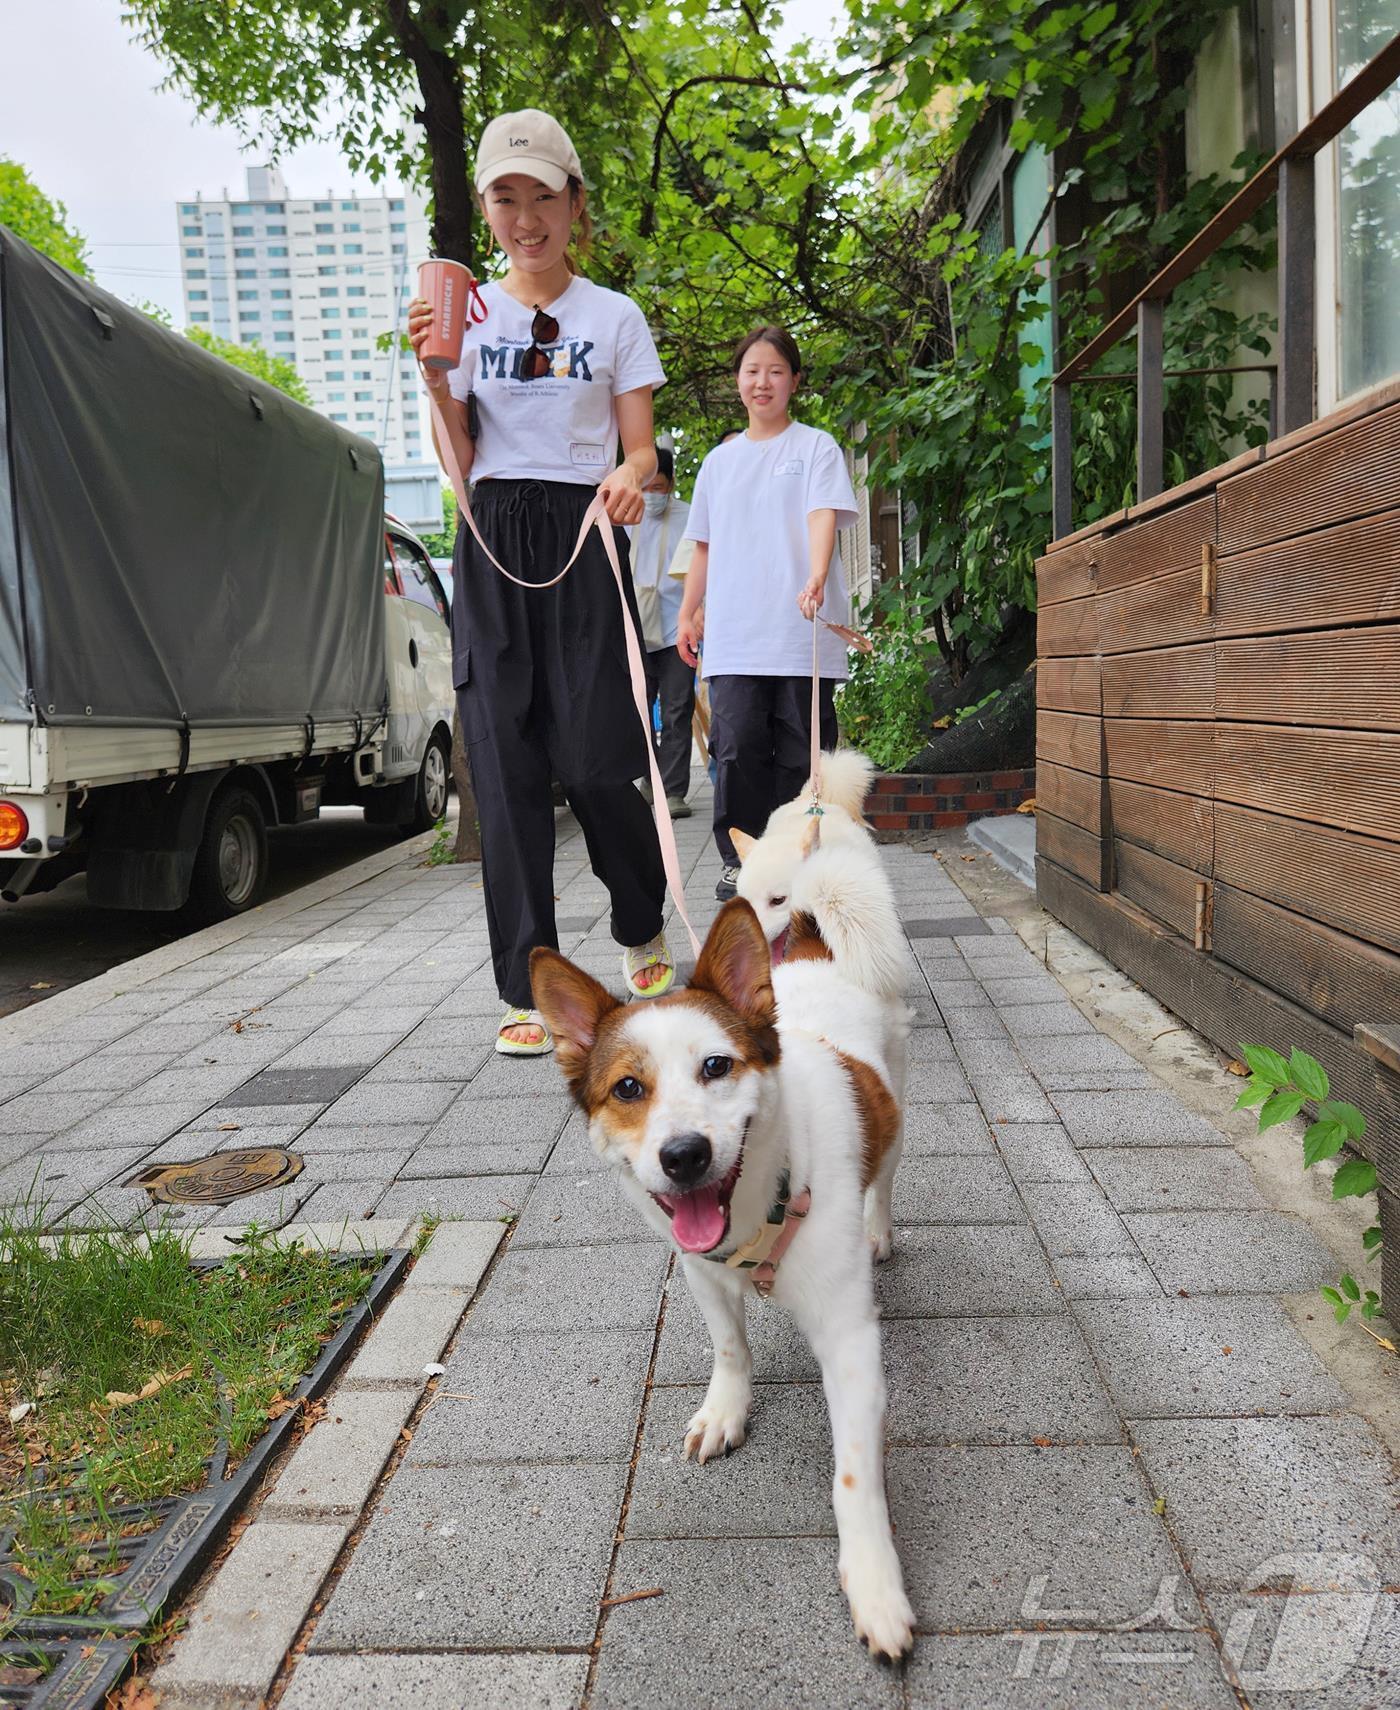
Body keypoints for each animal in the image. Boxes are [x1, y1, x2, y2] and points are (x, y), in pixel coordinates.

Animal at [529, 896, 916, 1655]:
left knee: (884, 1176)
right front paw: (726, 1409)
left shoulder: (850, 1338)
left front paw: (874, 1581)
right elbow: (731, 1349)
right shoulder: (700, 1273)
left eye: (715, 1066)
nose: (683, 1154)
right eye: (627, 1087)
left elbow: (855, 1472)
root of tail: (811, 947)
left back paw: (880, 1229)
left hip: (893, 1106)